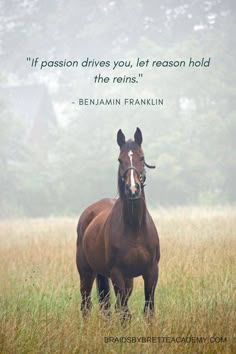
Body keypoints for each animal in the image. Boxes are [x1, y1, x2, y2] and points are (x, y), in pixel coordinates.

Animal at [76, 129, 159, 320]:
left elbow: (148, 310)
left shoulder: (151, 272)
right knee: (86, 305)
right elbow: (124, 313)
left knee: (106, 306)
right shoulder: (117, 273)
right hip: (86, 273)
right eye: (120, 160)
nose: (133, 189)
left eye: (142, 157)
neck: (135, 228)